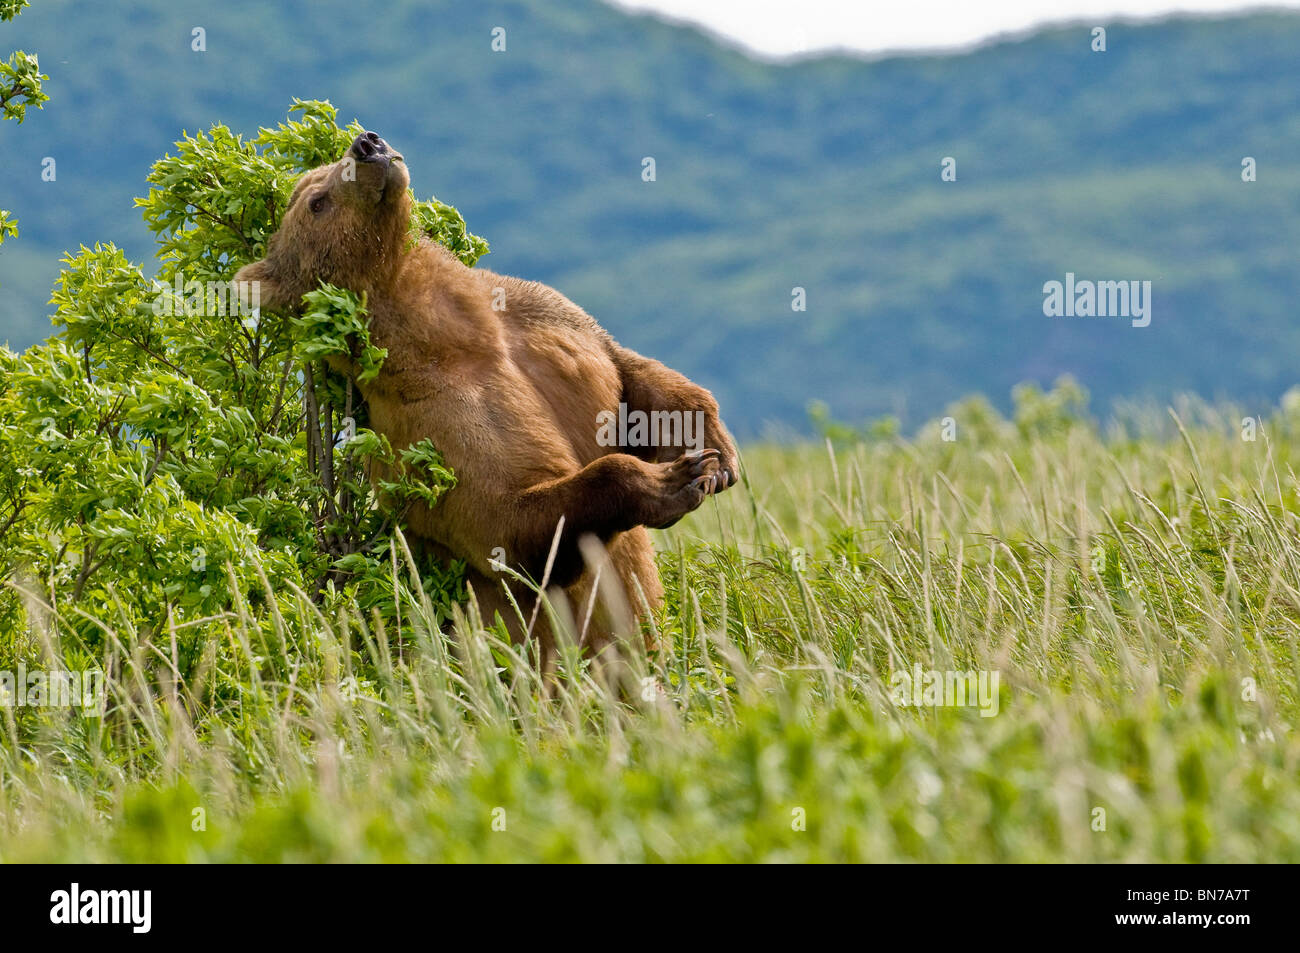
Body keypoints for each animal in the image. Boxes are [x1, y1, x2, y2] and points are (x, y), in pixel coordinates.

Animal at [235, 131, 743, 660]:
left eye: (323, 175)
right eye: (317, 201)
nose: (366, 144)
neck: (452, 335)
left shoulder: (543, 323)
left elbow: (632, 379)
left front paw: (711, 455)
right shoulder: (437, 426)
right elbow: (508, 526)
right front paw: (674, 480)